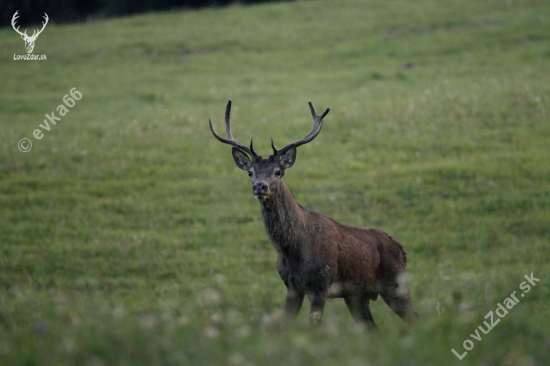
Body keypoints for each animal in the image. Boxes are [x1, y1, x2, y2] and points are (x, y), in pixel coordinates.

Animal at [209, 101, 420, 328]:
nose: (259, 186)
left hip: (395, 284)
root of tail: (402, 250)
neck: (292, 250)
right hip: (357, 295)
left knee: (414, 317)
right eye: (250, 172)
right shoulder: (291, 287)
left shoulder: (321, 283)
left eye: (278, 172)